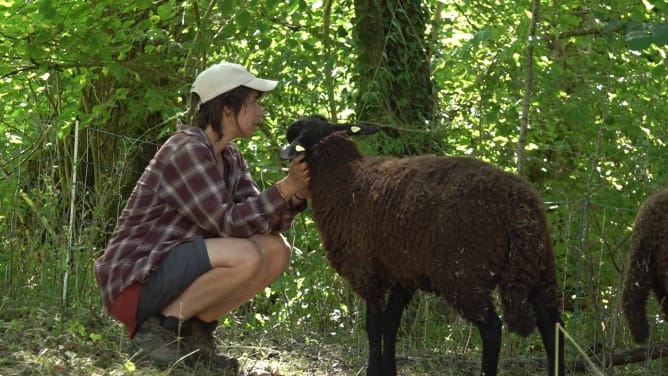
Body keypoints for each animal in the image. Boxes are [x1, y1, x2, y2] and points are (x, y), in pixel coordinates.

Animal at [280, 115, 568, 376]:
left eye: (296, 133)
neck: (345, 181)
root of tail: (520, 205)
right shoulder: (401, 275)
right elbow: (390, 325)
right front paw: (389, 371)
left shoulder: (366, 271)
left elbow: (373, 326)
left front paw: (374, 370)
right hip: (537, 264)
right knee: (552, 324)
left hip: (464, 273)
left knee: (492, 330)